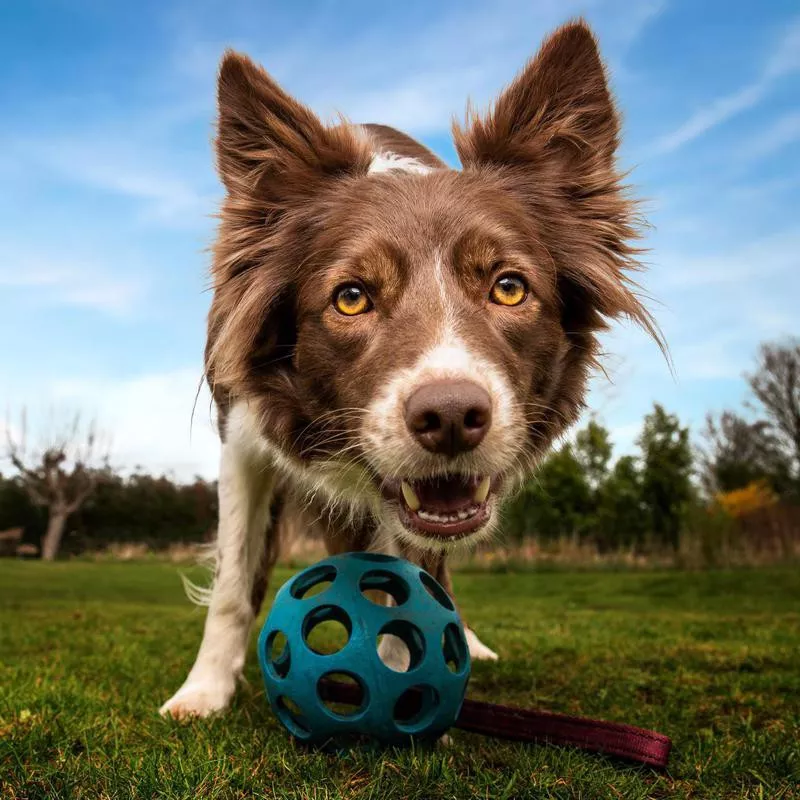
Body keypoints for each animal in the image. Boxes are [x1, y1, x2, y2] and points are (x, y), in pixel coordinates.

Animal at [161, 17, 656, 720]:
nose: (450, 417)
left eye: (509, 288)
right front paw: (203, 692)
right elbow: (233, 579)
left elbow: (415, 577)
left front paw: (410, 666)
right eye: (351, 297)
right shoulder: (244, 441)